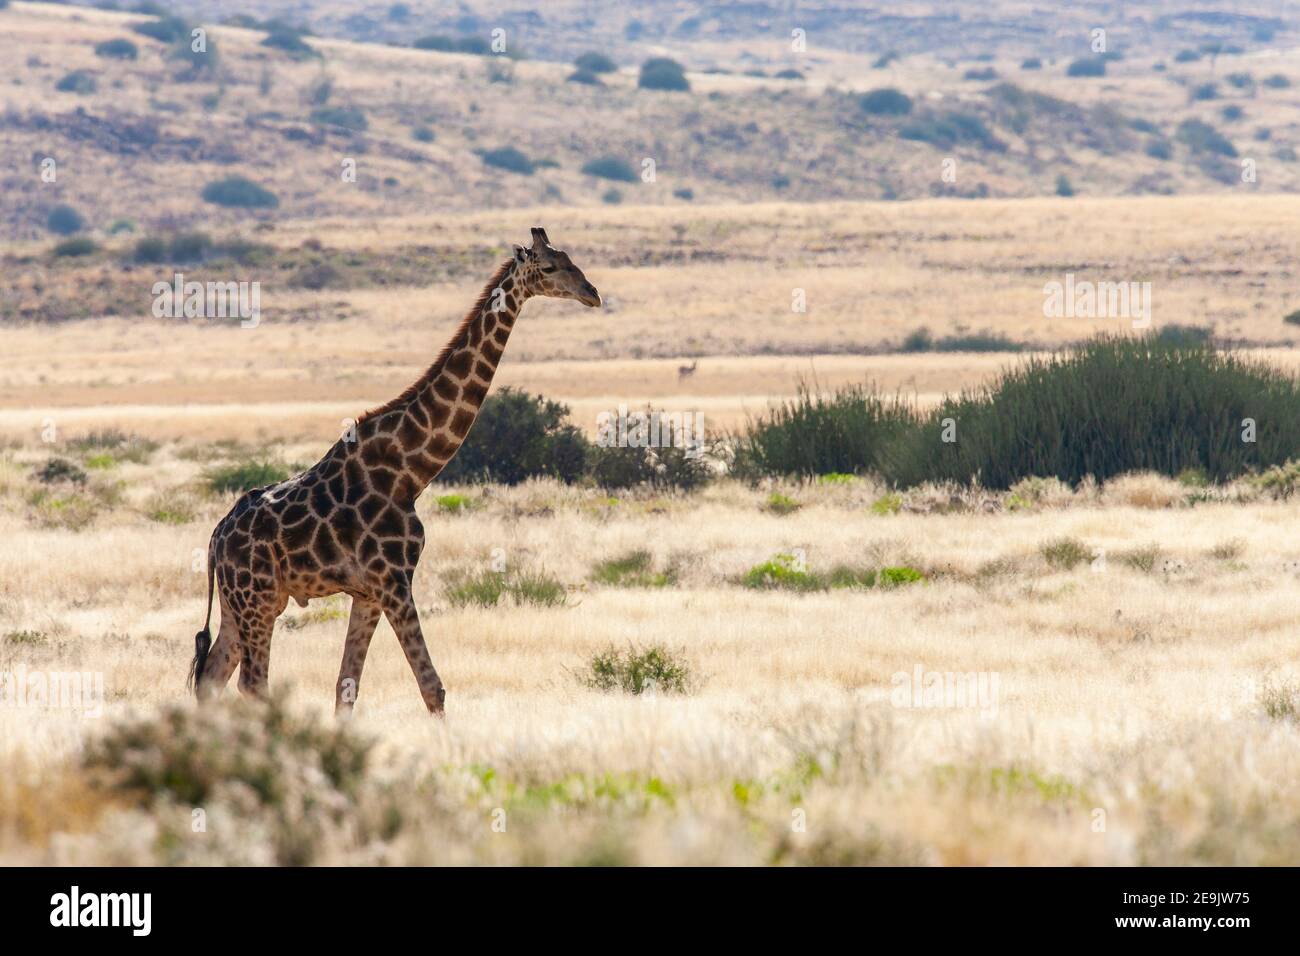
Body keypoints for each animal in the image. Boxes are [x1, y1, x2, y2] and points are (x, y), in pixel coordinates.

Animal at [188, 227, 603, 712]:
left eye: (573, 260)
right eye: (552, 267)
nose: (592, 293)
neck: (411, 470)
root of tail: (216, 540)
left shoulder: (369, 592)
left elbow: (346, 685)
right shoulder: (393, 580)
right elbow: (432, 686)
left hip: (247, 602)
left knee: (212, 675)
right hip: (256, 596)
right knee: (252, 684)